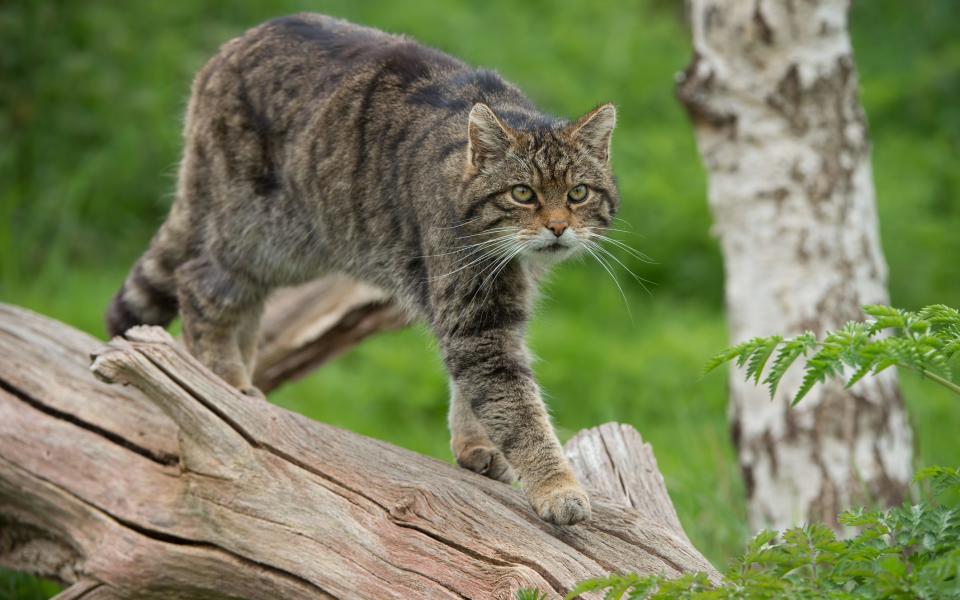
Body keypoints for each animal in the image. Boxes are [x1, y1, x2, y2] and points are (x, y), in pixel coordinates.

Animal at [105, 11, 624, 524]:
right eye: (522, 194)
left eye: (578, 193)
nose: (557, 228)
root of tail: (229, 49)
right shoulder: (475, 319)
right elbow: (515, 407)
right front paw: (557, 487)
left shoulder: (494, 313)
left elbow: (473, 392)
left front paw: (474, 445)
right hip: (262, 236)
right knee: (199, 282)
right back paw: (223, 381)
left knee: (242, 304)